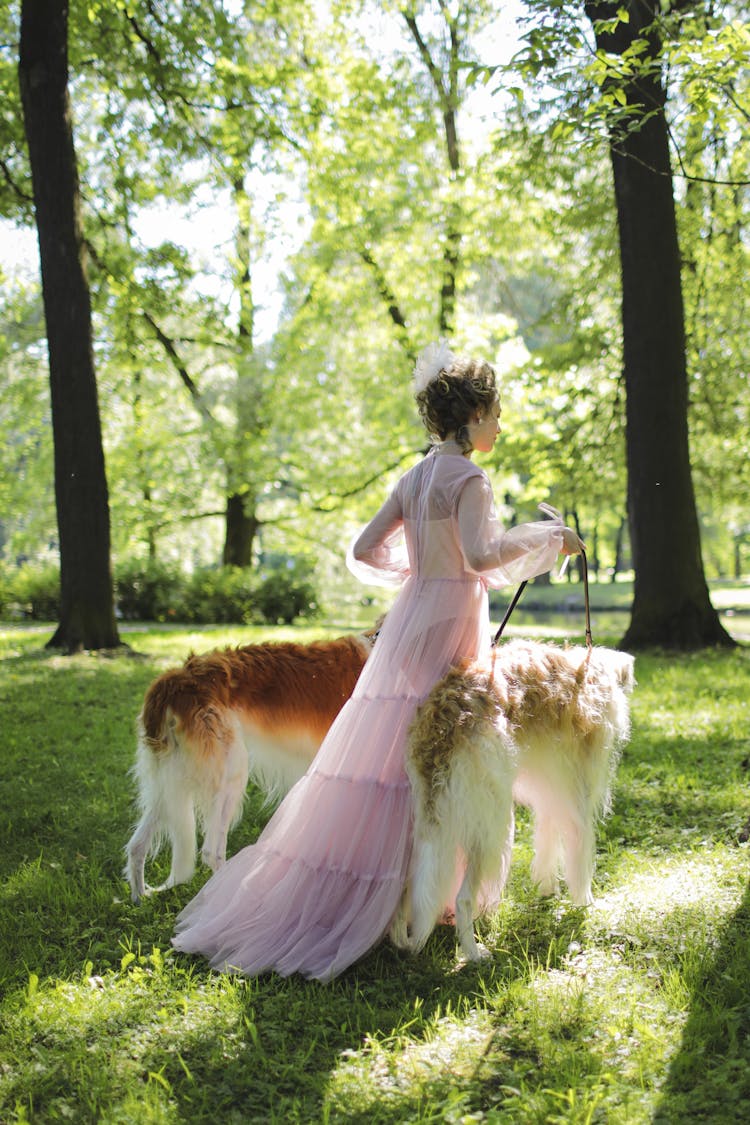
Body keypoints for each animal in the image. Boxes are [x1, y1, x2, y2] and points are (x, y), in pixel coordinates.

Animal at [127, 630, 382, 900]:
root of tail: (174, 678)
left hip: (170, 782)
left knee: (136, 845)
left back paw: (138, 898)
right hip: (230, 772)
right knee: (210, 853)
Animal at [395, 639, 638, 963]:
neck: (592, 672)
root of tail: (443, 725)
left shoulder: (551, 794)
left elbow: (547, 842)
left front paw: (548, 890)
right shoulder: (579, 801)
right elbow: (580, 857)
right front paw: (584, 903)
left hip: (432, 820)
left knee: (411, 889)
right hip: (492, 826)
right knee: (463, 898)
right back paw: (474, 953)